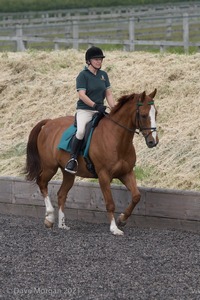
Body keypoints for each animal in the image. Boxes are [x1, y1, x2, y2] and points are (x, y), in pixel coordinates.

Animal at [25, 88, 159, 236]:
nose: (153, 142)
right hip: (50, 167)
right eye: (144, 115)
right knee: (42, 183)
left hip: (69, 173)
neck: (117, 139)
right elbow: (110, 203)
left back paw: (62, 224)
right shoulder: (104, 175)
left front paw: (122, 219)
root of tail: (49, 122)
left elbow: (136, 196)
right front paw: (114, 228)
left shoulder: (126, 172)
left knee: (61, 194)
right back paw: (49, 218)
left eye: (156, 114)